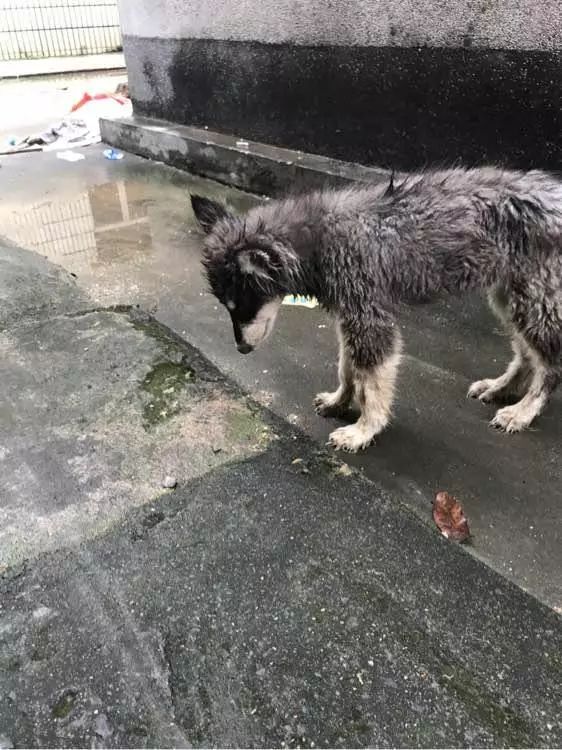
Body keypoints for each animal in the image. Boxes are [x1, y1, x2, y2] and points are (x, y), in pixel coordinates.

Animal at [190, 167, 556, 452]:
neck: (318, 239)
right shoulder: (350, 316)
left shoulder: (369, 320)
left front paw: (365, 429)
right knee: (526, 354)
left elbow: (373, 383)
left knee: (550, 365)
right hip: (510, 296)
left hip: (536, 300)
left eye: (241, 305)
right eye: (227, 306)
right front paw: (340, 401)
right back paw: (502, 388)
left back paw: (523, 410)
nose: (241, 348)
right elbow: (348, 368)